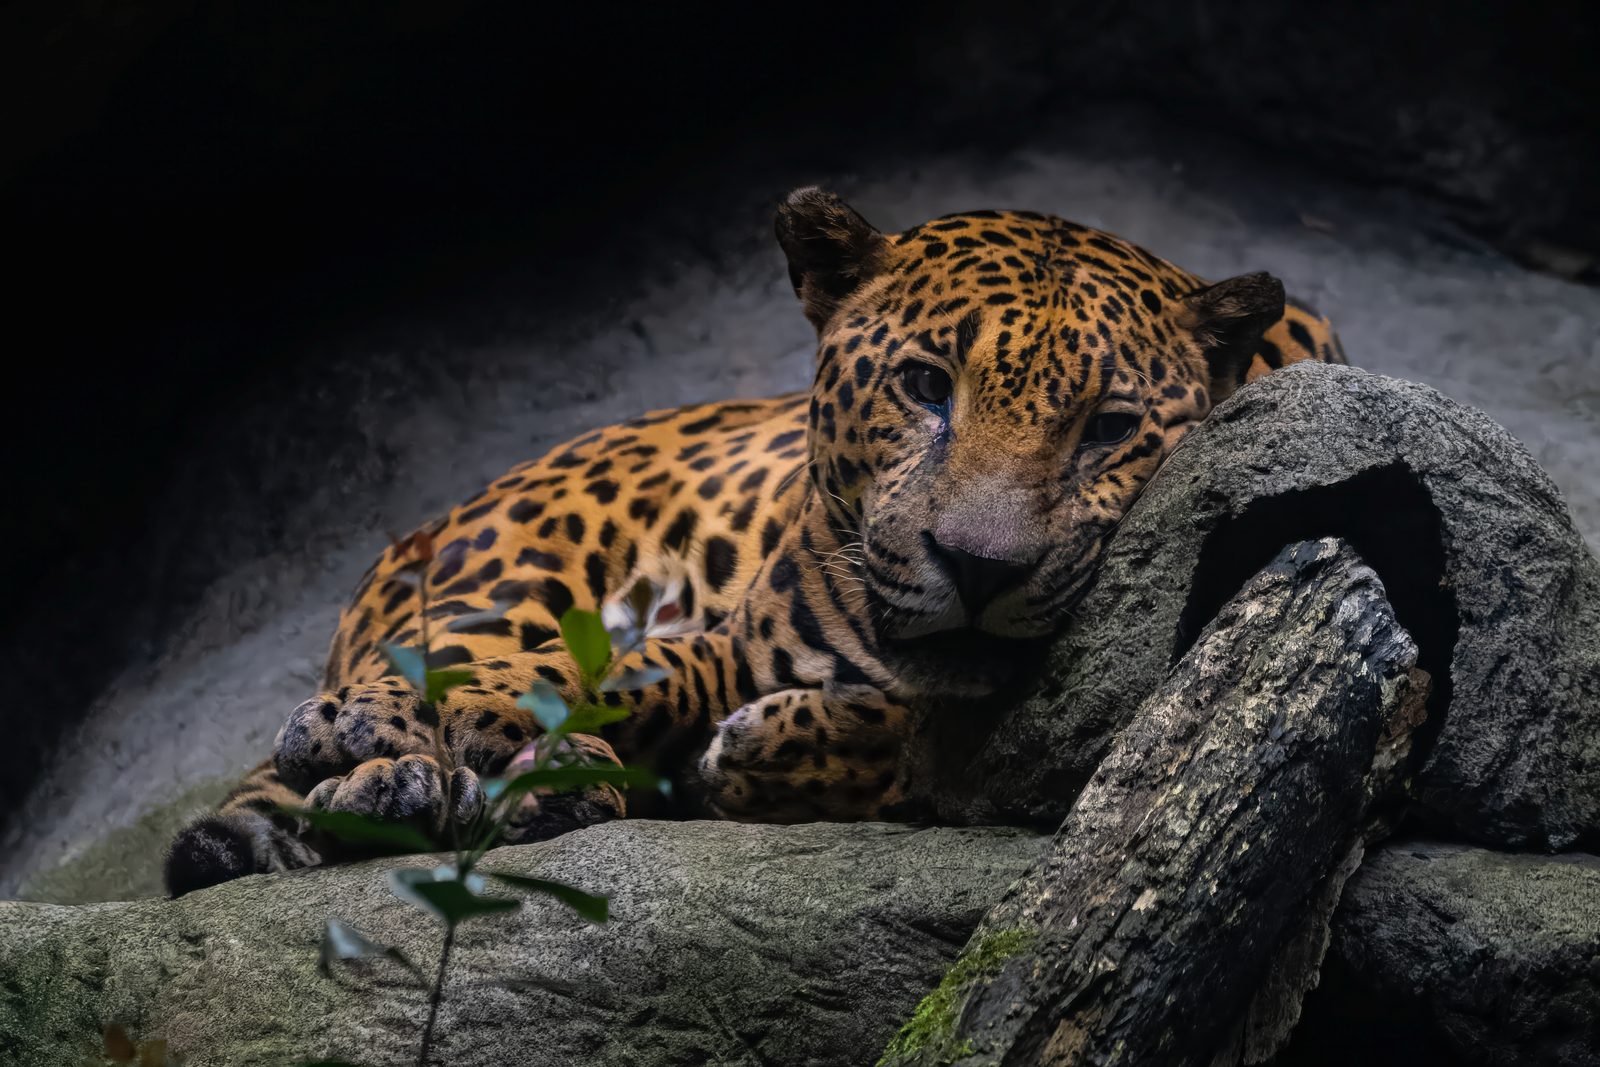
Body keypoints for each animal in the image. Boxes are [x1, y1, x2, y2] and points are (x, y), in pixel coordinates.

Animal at [165, 187, 1346, 895]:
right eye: (926, 386)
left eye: (1106, 428)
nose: (978, 567)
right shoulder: (721, 639)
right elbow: (611, 674)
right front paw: (398, 735)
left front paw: (774, 747)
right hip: (499, 575)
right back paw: (398, 772)